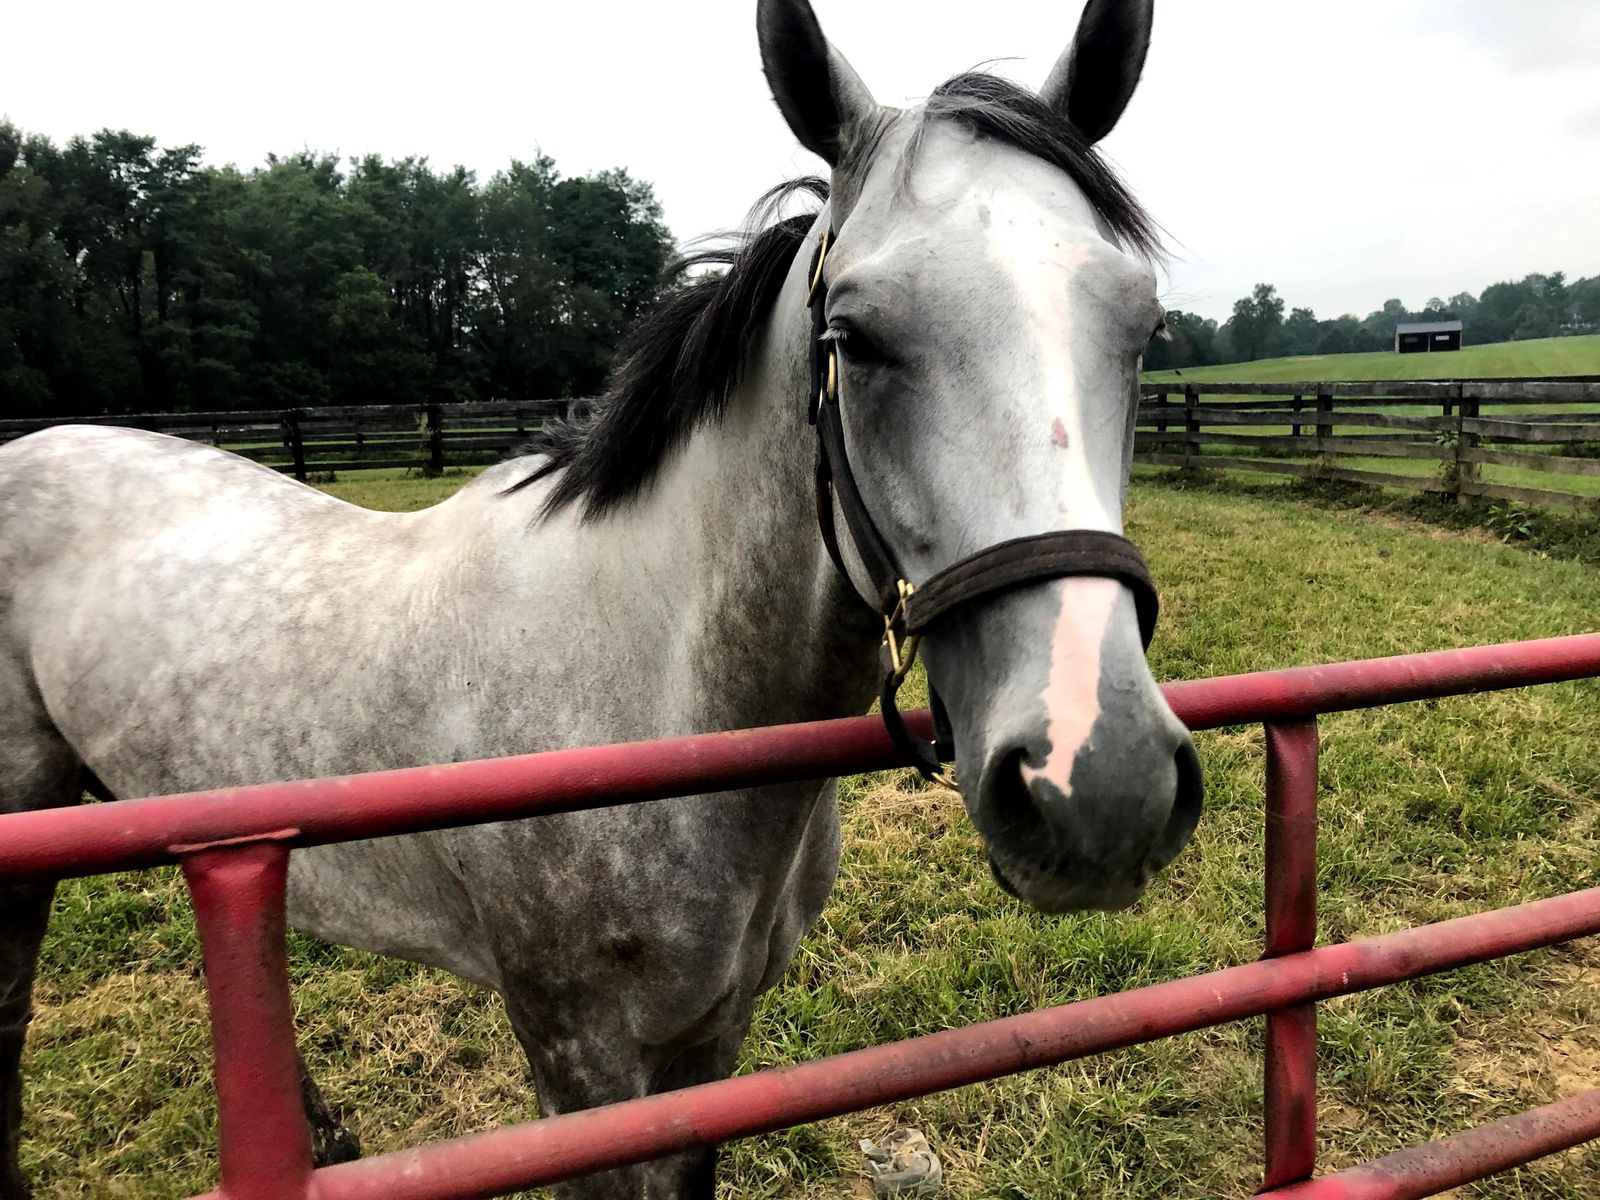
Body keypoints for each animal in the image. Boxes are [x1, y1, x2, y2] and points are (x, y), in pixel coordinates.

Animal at [0, 1, 1201, 1195]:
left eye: (1143, 329)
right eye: (851, 339)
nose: (1098, 785)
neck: (654, 689)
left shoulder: (711, 1037)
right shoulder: (580, 1065)